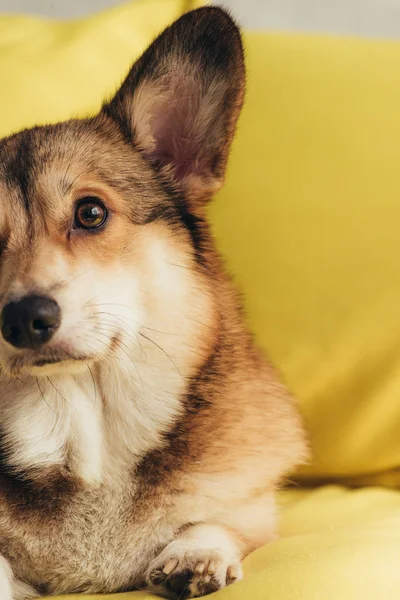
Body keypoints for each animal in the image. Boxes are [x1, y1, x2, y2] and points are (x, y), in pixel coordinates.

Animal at [0, 5, 308, 600]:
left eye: (91, 213)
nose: (23, 319)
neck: (85, 429)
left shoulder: (253, 506)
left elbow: (220, 518)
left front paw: (196, 553)